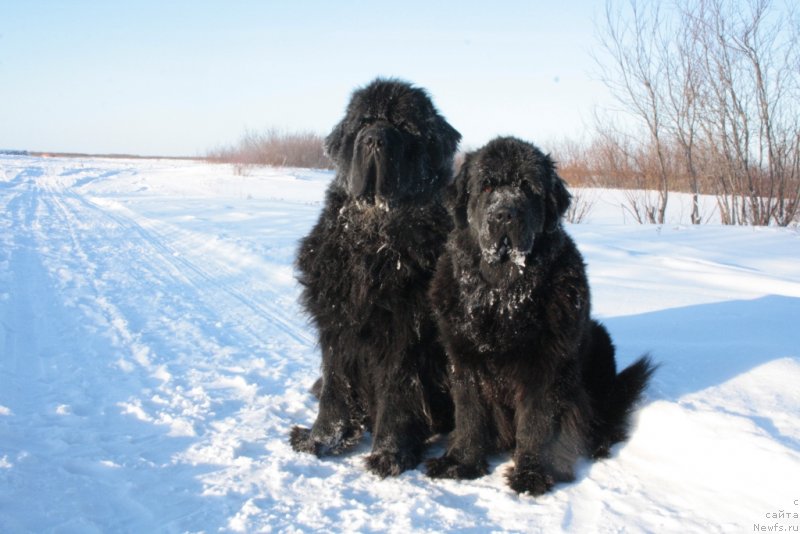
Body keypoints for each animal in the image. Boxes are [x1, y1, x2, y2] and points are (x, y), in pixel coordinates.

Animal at [290, 78, 460, 478]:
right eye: (364, 122)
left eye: (403, 126)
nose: (373, 140)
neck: (374, 235)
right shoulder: (336, 327)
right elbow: (334, 388)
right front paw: (321, 439)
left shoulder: (405, 334)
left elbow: (398, 392)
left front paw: (389, 453)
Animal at [424, 138, 656, 498]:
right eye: (486, 186)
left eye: (526, 187)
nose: (504, 213)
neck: (502, 295)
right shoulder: (464, 360)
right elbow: (470, 415)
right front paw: (460, 463)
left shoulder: (545, 366)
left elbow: (537, 423)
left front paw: (531, 474)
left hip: (600, 344)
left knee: (605, 418)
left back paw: (598, 444)